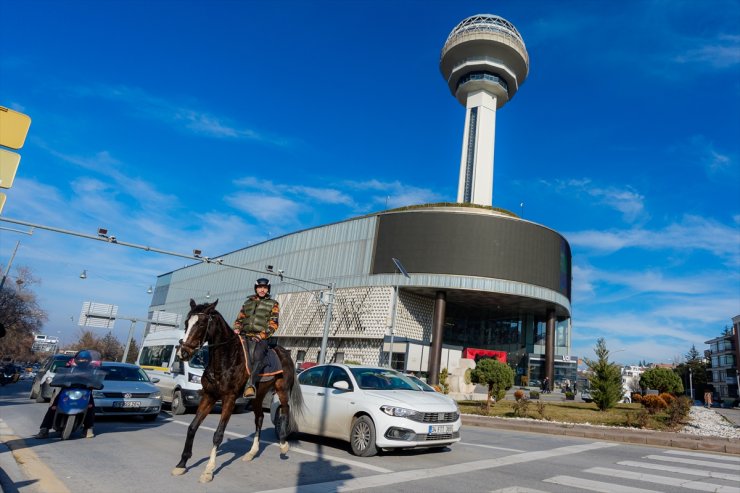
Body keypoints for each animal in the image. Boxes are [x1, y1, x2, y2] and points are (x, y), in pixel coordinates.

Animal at [171, 298, 304, 482]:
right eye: (186, 323)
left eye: (201, 323)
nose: (183, 352)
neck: (226, 358)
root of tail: (285, 353)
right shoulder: (209, 396)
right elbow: (192, 427)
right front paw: (181, 464)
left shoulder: (229, 398)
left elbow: (218, 434)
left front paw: (208, 471)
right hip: (257, 396)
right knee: (260, 418)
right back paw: (251, 452)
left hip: (282, 389)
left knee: (285, 410)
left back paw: (284, 445)